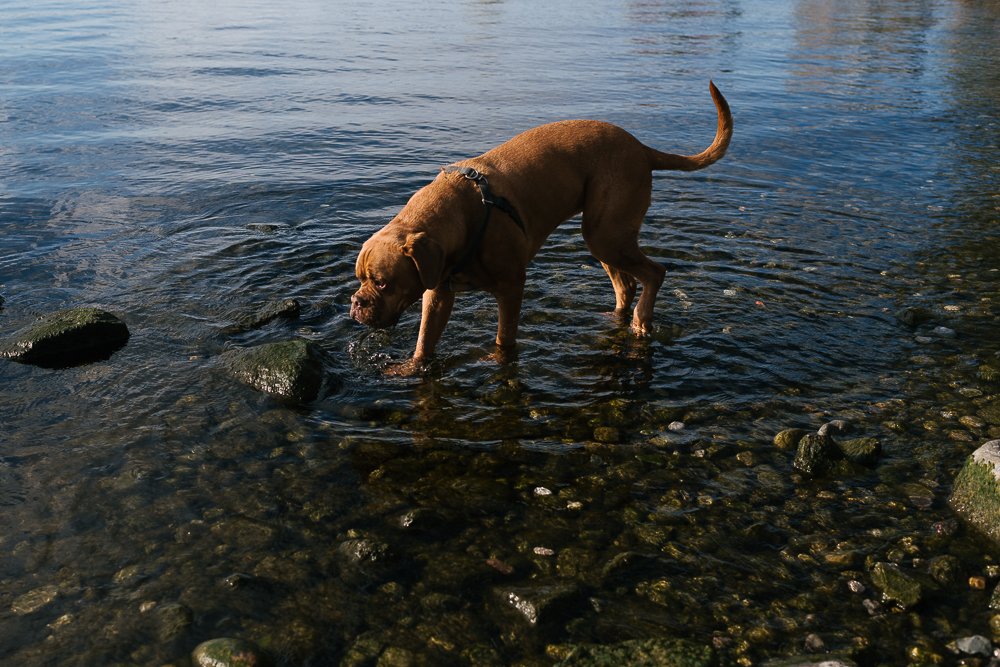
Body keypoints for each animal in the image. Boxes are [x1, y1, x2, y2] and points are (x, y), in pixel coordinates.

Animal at [354, 81, 736, 374]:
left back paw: (641, 321)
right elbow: (425, 339)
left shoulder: (511, 287)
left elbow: (504, 338)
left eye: (383, 282)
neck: (465, 214)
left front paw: (499, 360)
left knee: (654, 273)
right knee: (626, 284)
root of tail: (642, 149)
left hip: (607, 234)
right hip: (603, 236)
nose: (356, 303)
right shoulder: (438, 293)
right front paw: (413, 367)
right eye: (360, 279)